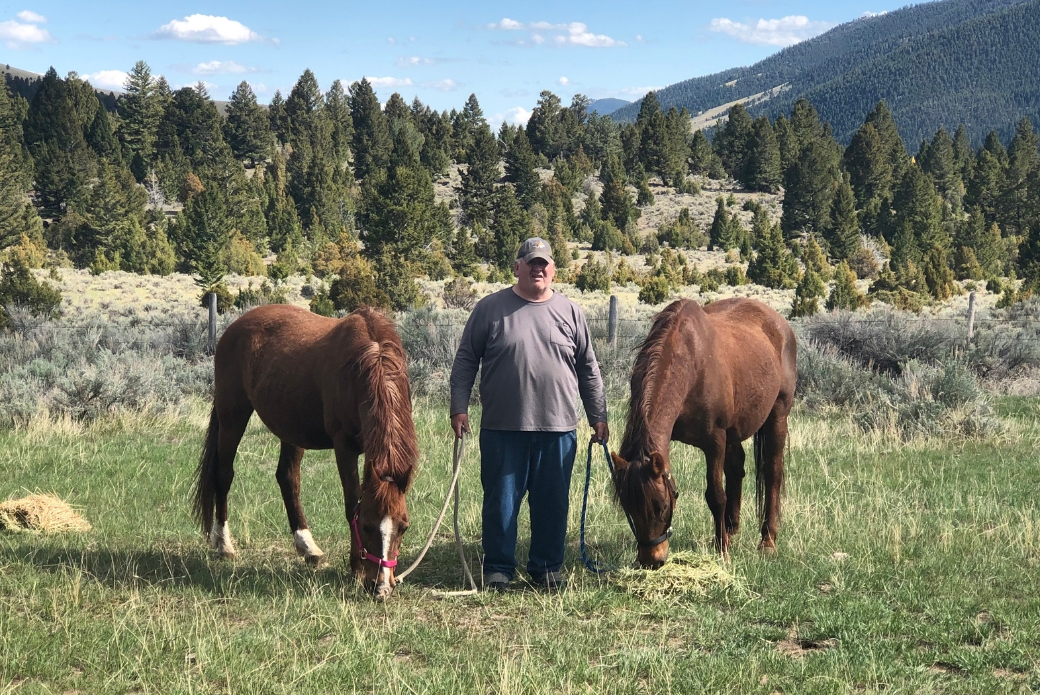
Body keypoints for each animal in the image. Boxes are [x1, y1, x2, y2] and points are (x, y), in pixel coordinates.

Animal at [192, 304, 417, 599]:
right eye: (367, 525)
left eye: (403, 526)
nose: (381, 587)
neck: (366, 363)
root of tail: (234, 327)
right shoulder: (344, 447)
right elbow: (351, 504)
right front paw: (356, 569)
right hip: (233, 416)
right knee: (223, 475)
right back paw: (224, 544)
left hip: (291, 428)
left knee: (288, 478)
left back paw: (307, 547)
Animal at [611, 298, 796, 568]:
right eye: (628, 507)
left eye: (662, 505)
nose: (651, 561)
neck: (691, 364)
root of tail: (780, 323)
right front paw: (723, 540)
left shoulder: (715, 441)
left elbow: (716, 496)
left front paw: (723, 552)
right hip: (735, 431)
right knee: (736, 468)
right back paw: (730, 530)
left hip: (777, 416)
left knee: (773, 472)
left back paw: (767, 542)